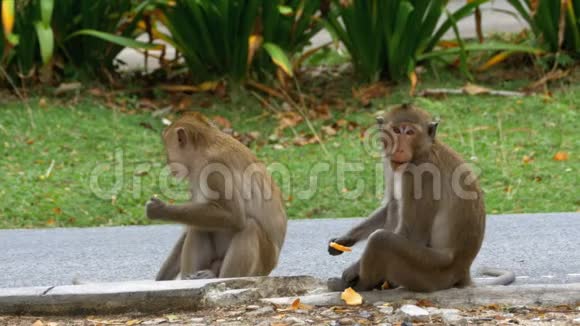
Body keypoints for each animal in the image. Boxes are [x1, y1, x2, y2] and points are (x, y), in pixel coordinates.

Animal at [147, 112, 288, 280]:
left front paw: (161, 210)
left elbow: (234, 216)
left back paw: (224, 279)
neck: (207, 145)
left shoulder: (215, 169)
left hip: (260, 266)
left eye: (168, 150)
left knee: (250, 227)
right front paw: (161, 279)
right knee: (199, 227)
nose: (167, 162)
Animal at [328, 103, 516, 292]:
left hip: (430, 270)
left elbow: (412, 234)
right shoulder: (390, 164)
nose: (400, 148)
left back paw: (358, 285)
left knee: (381, 240)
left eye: (410, 132)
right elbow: (391, 205)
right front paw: (344, 239)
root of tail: (462, 272)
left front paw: (352, 271)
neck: (421, 152)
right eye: (396, 130)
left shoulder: (420, 175)